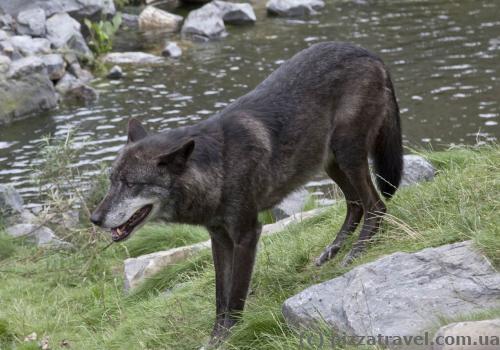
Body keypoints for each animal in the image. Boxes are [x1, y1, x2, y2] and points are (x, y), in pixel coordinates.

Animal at [91, 41, 402, 344]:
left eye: (131, 184)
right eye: (112, 180)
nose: (95, 218)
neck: (220, 165)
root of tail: (370, 53)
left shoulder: (247, 234)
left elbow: (235, 297)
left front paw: (232, 336)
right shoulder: (219, 238)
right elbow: (220, 297)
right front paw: (215, 339)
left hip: (347, 155)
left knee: (376, 204)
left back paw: (358, 251)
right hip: (330, 163)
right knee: (355, 204)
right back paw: (333, 250)